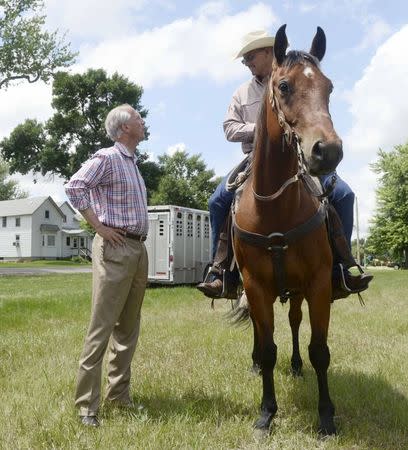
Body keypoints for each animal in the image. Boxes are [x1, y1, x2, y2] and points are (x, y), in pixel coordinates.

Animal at [233, 24, 342, 436]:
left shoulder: (318, 284)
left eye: (329, 87)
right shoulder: (255, 286)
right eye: (283, 86)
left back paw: (296, 366)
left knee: (295, 323)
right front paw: (266, 413)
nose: (328, 151)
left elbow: (319, 351)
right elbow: (267, 350)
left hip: (297, 291)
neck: (274, 211)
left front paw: (326, 415)